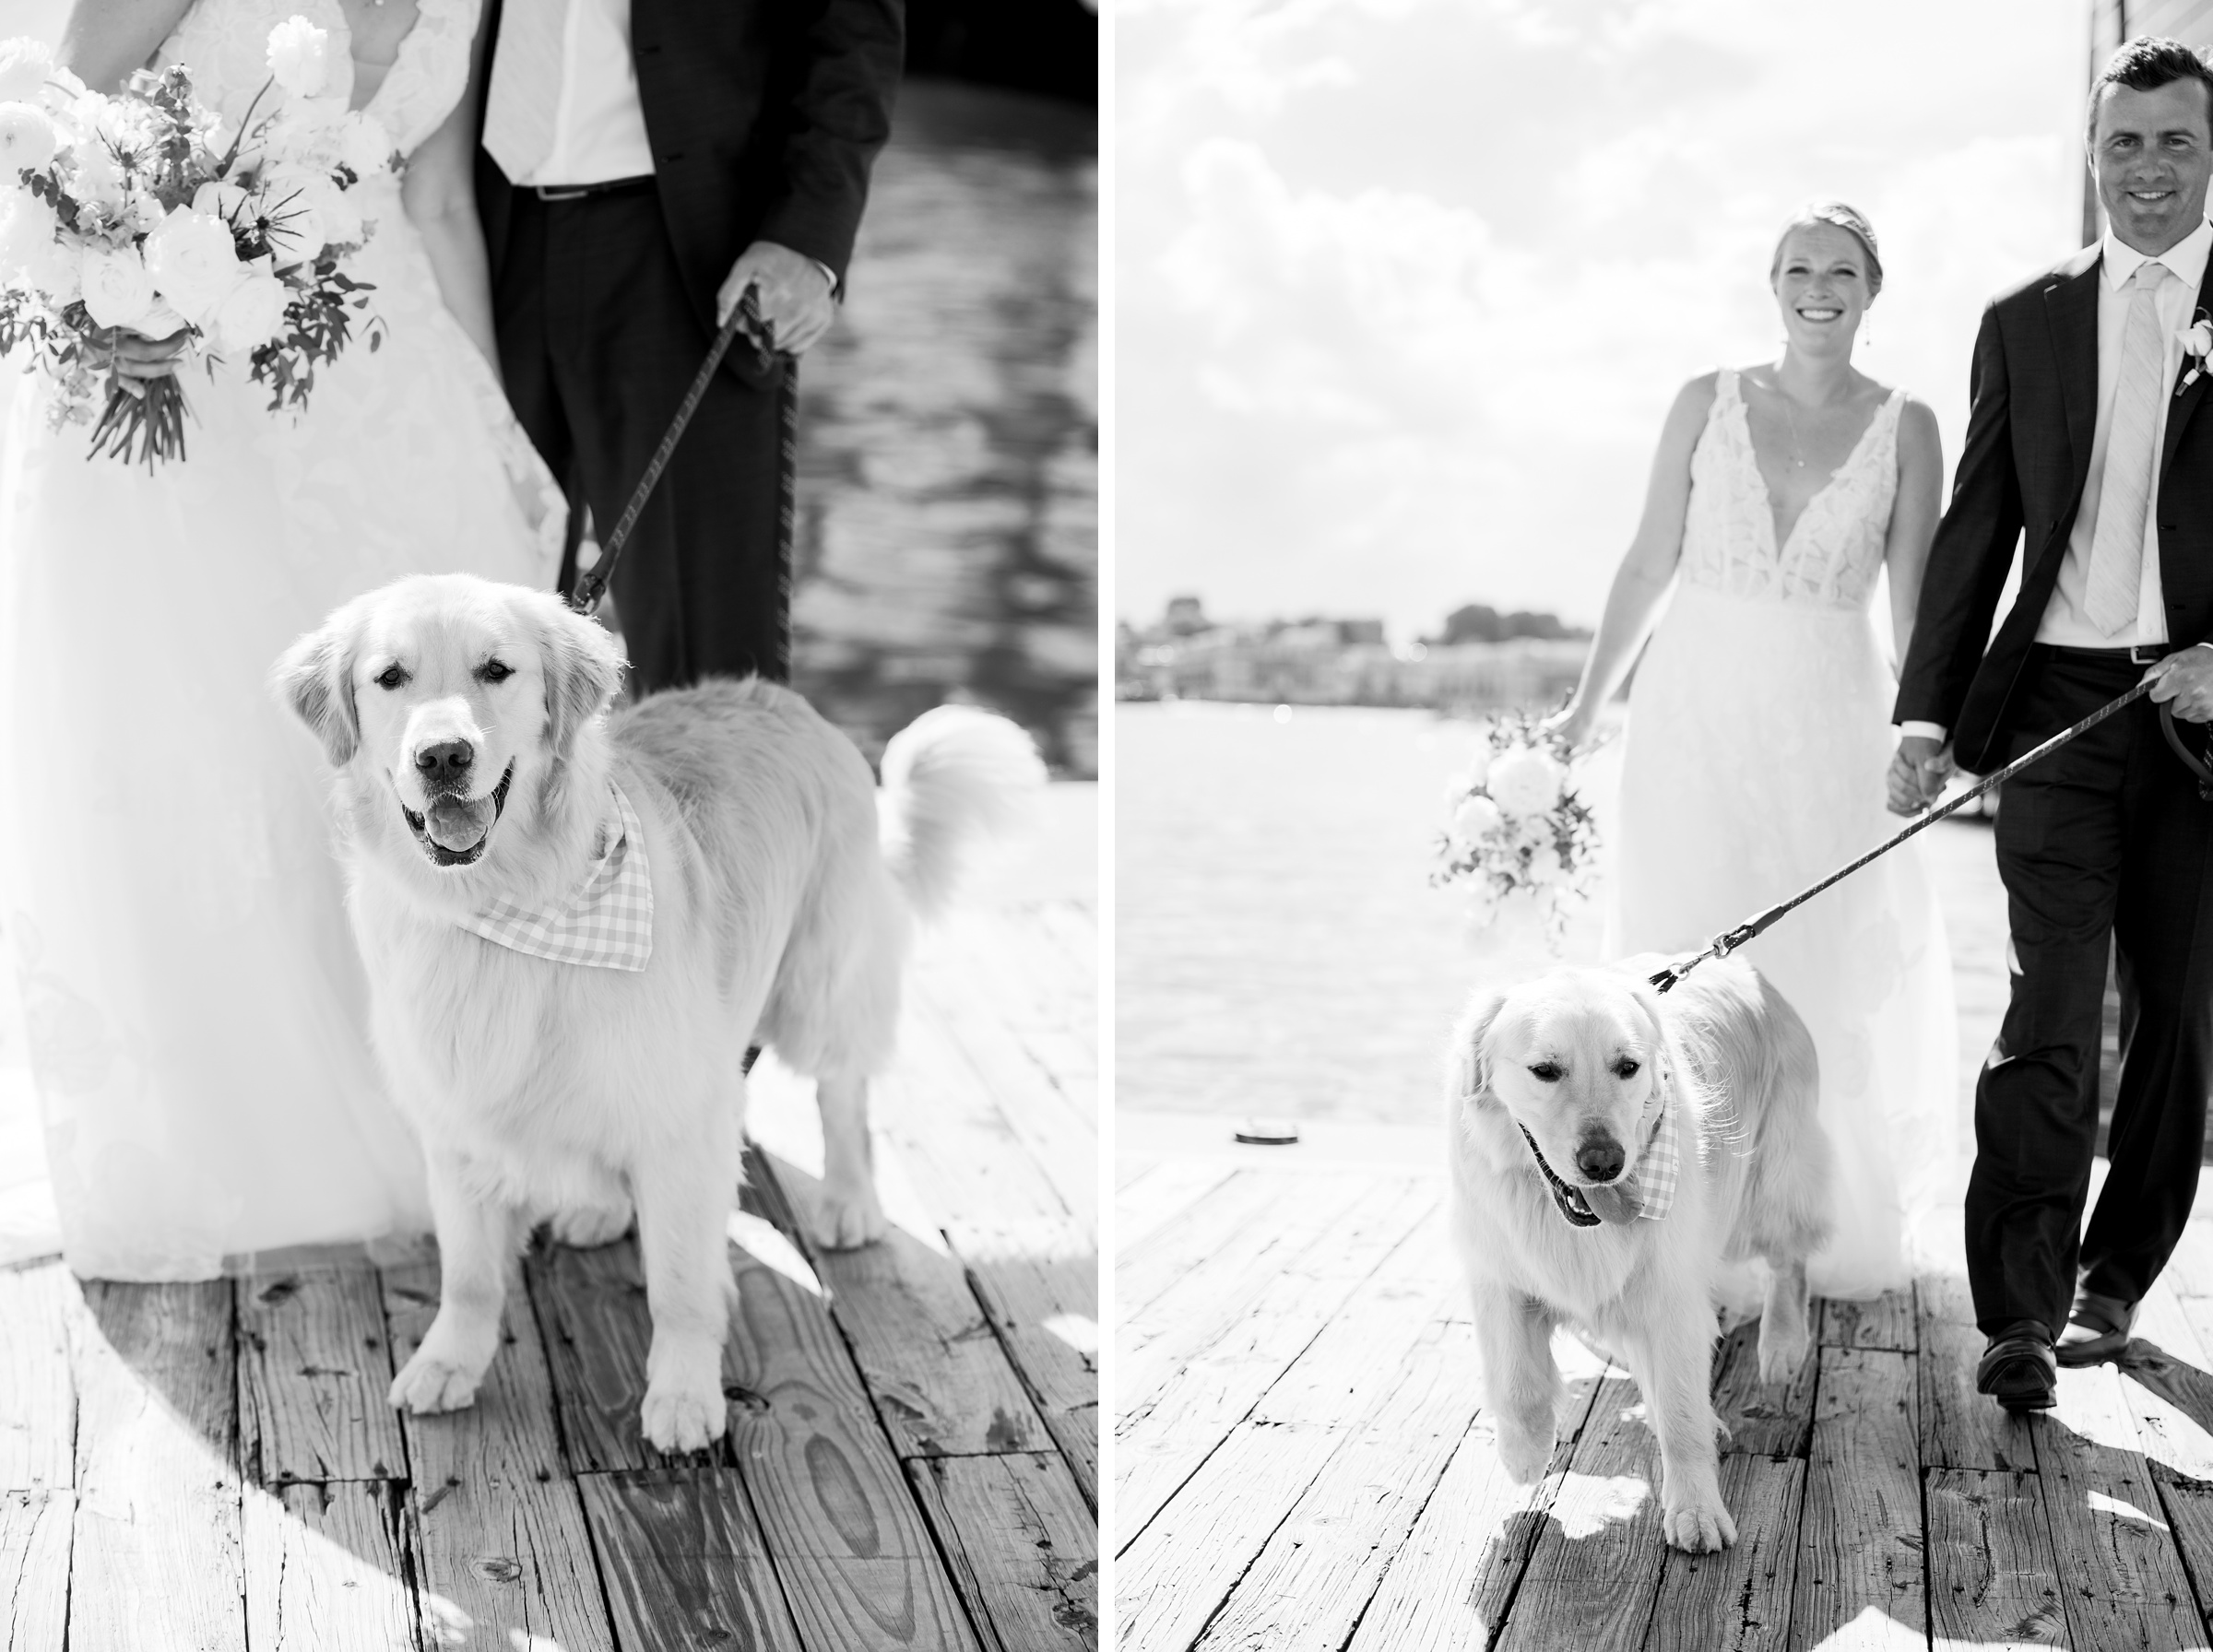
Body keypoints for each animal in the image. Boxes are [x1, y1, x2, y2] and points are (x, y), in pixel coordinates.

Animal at [274, 574, 1044, 1450]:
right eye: (390, 678)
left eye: (496, 670)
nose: (443, 757)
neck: (507, 907)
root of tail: (783, 698)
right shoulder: (455, 1117)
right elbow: (467, 1273)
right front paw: (449, 1361)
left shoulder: (682, 1115)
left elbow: (678, 1279)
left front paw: (682, 1393)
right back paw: (599, 1209)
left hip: (820, 981)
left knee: (842, 1091)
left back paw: (849, 1200)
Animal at [1434, 950, 1832, 1556]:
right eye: (1544, 1070)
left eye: (1628, 1066)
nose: (1605, 1163)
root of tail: (1742, 961)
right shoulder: (1498, 1270)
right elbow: (1515, 1379)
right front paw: (1525, 1451)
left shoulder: (1671, 1294)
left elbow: (1682, 1413)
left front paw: (1696, 1508)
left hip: (1767, 1187)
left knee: (1789, 1260)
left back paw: (1783, 1344)